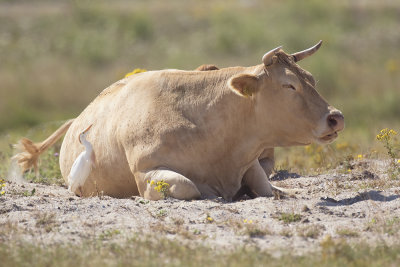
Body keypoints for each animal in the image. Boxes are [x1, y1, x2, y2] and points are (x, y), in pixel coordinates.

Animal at [12, 41, 344, 201]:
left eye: (311, 79)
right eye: (289, 85)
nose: (336, 117)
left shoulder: (248, 161)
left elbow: (265, 187)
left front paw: (282, 190)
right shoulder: (147, 172)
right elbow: (189, 187)